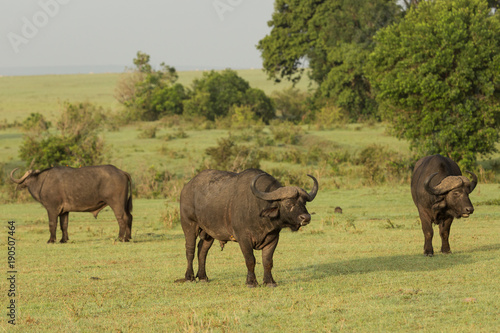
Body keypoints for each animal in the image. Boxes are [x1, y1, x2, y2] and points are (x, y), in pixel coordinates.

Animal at [178, 169, 318, 286]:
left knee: (202, 250)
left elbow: (268, 261)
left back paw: (203, 277)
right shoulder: (243, 239)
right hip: (189, 225)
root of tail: (186, 188)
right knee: (190, 250)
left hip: (209, 233)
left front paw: (269, 282)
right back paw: (189, 277)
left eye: (304, 202)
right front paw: (251, 282)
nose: (306, 217)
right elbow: (250, 260)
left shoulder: (273, 238)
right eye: (289, 202)